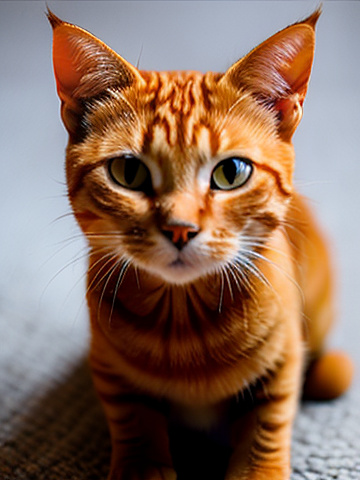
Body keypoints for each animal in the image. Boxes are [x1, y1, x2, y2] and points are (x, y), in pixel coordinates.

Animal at [49, 8, 352, 480]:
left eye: (231, 173)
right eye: (128, 173)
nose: (180, 228)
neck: (183, 322)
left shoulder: (281, 364)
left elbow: (267, 427)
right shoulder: (110, 371)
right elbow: (133, 421)